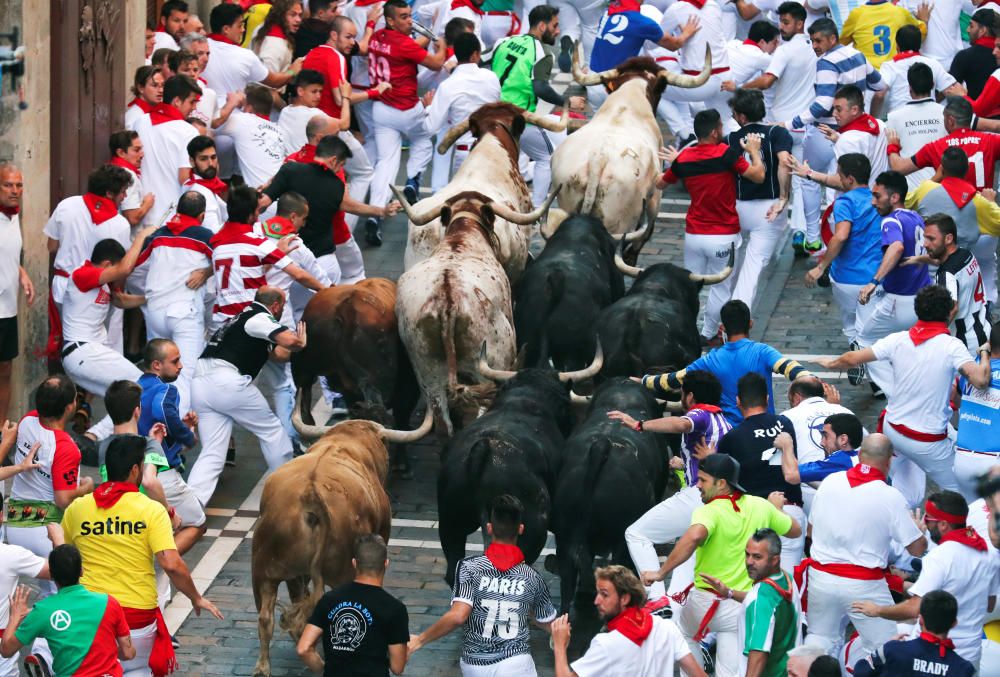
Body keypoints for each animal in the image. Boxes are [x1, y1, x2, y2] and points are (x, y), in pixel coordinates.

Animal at [250, 410, 430, 672]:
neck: (345, 440)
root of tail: (311, 492)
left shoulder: (296, 575)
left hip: (263, 571)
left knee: (266, 617)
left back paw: (264, 668)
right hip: (340, 573)